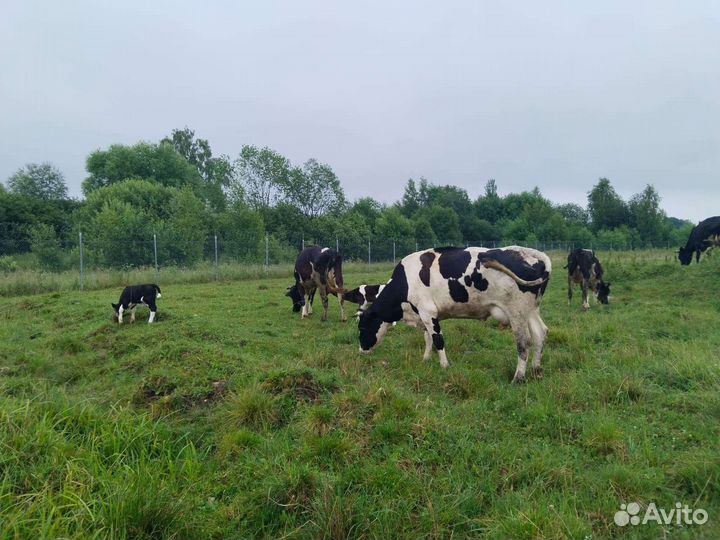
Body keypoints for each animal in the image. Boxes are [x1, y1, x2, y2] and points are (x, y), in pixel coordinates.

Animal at [358, 246, 551, 383]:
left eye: (362, 327)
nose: (361, 350)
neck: (406, 282)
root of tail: (532, 253)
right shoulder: (424, 315)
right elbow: (428, 338)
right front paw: (426, 359)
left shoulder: (428, 311)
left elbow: (438, 340)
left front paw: (444, 366)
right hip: (530, 310)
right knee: (540, 333)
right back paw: (536, 370)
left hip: (516, 311)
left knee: (524, 342)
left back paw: (518, 377)